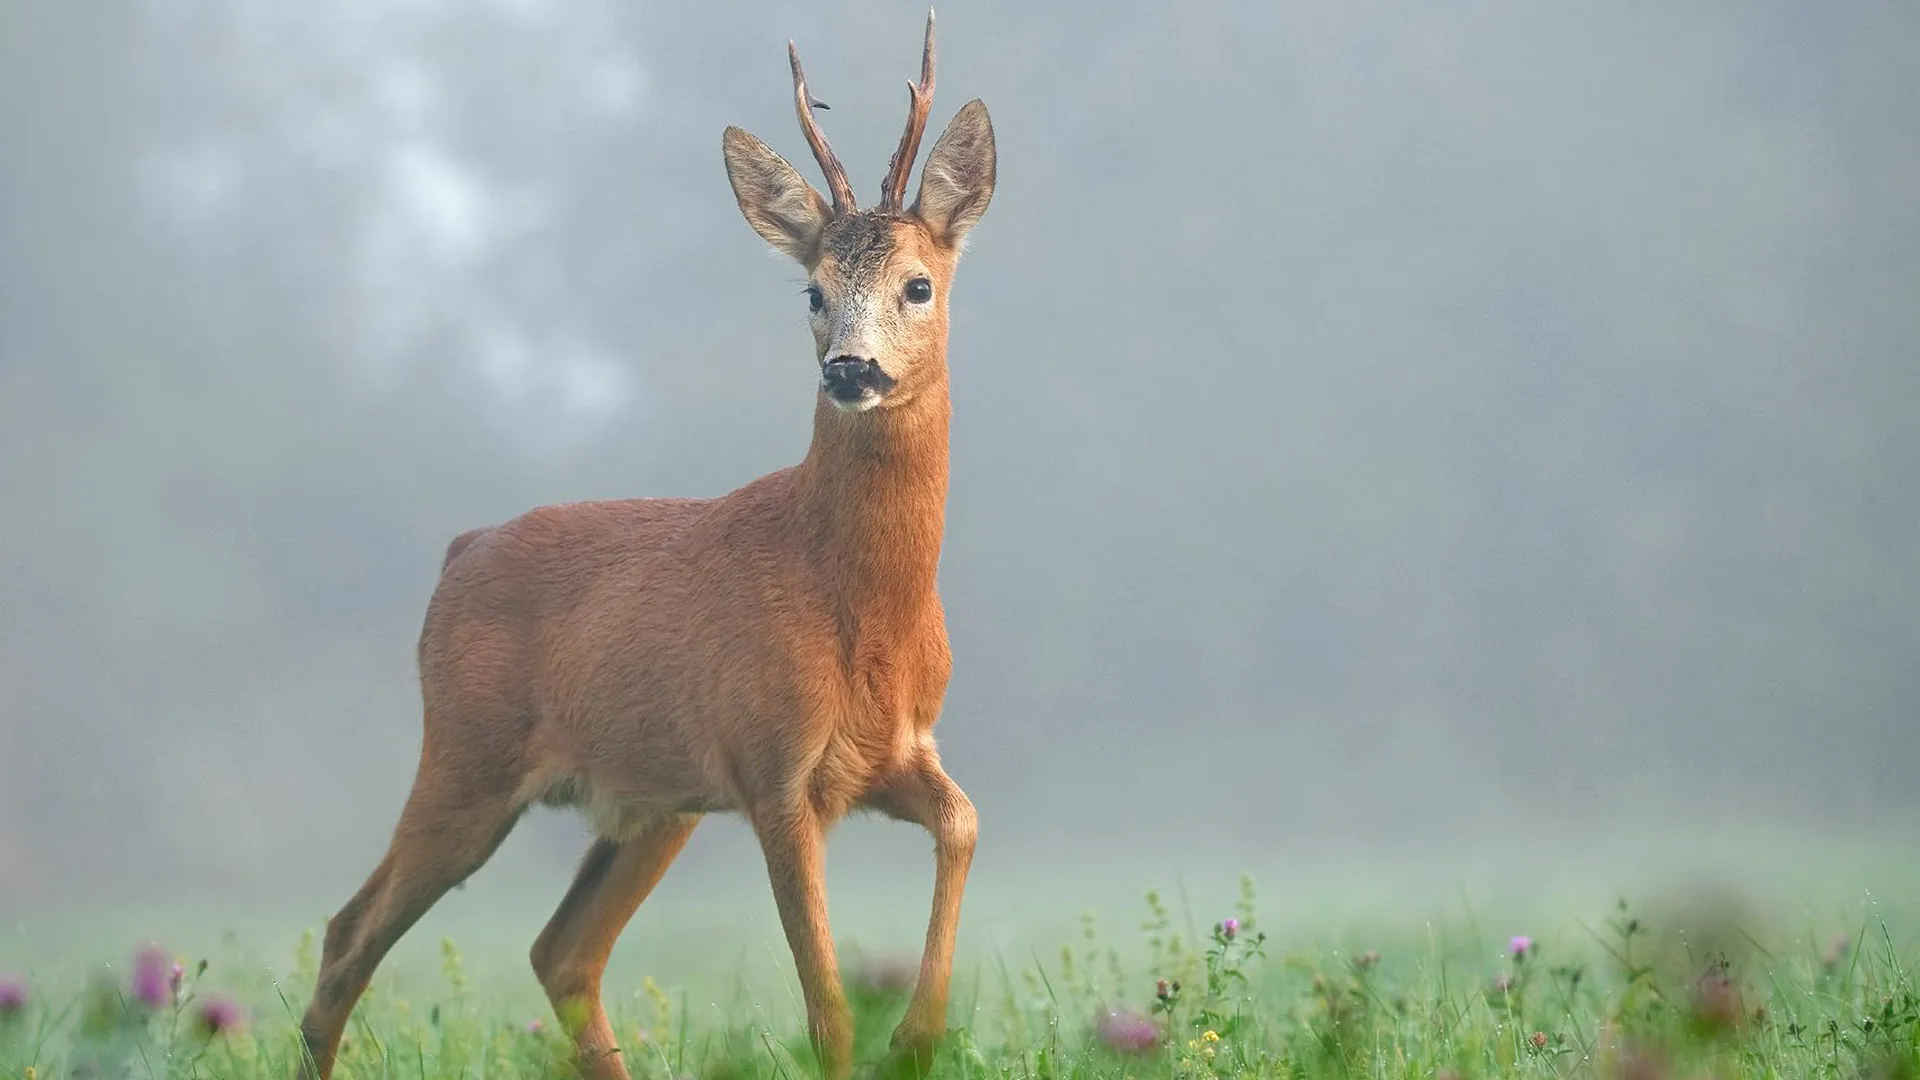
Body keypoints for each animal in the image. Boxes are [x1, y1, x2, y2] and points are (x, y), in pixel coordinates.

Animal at [295, 12, 1006, 1076]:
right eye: (810, 292)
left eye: (919, 284)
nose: (850, 369)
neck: (861, 605)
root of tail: (461, 549)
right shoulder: (771, 765)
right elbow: (827, 1006)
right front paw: (882, 1036)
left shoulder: (894, 751)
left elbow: (962, 823)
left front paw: (918, 1037)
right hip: (465, 757)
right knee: (350, 934)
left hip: (650, 804)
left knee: (560, 951)